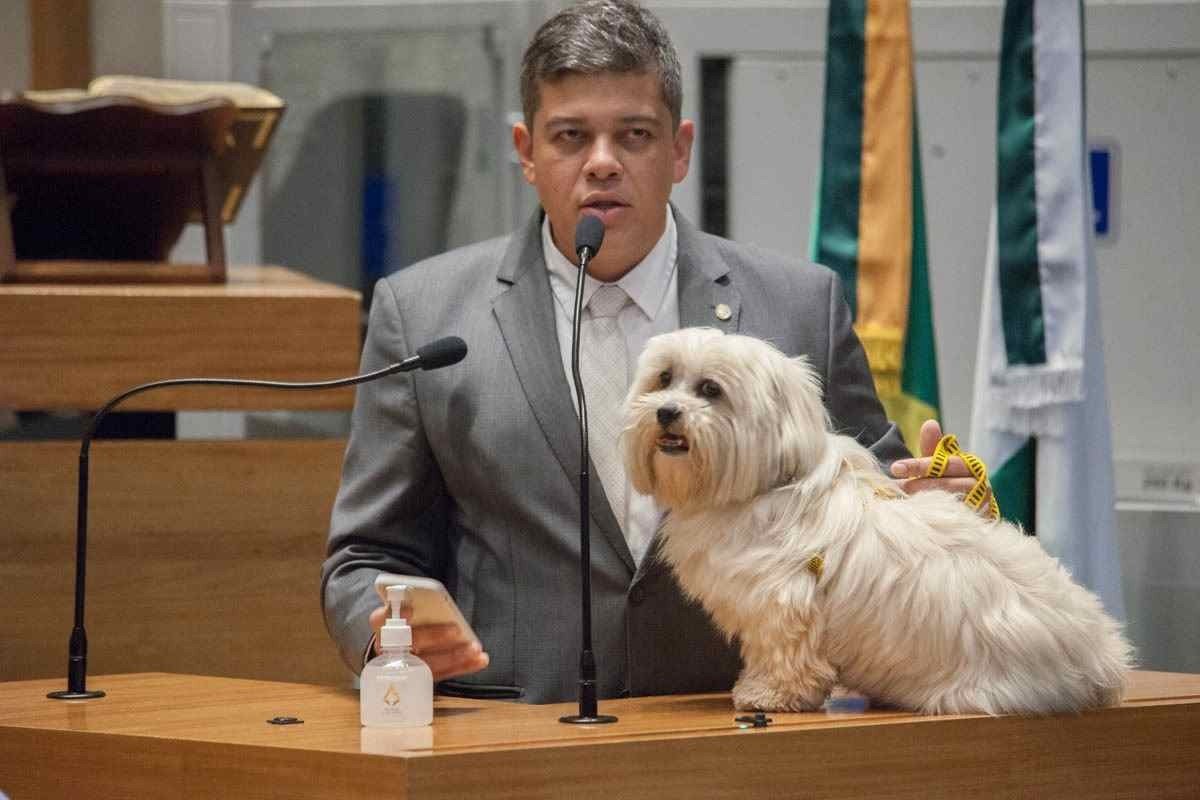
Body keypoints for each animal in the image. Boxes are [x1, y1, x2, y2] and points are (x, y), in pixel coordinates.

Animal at [624, 328, 1128, 714]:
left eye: (710, 389)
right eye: (664, 378)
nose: (666, 411)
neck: (763, 485)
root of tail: (1100, 656)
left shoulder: (782, 603)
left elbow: (785, 654)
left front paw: (767, 693)